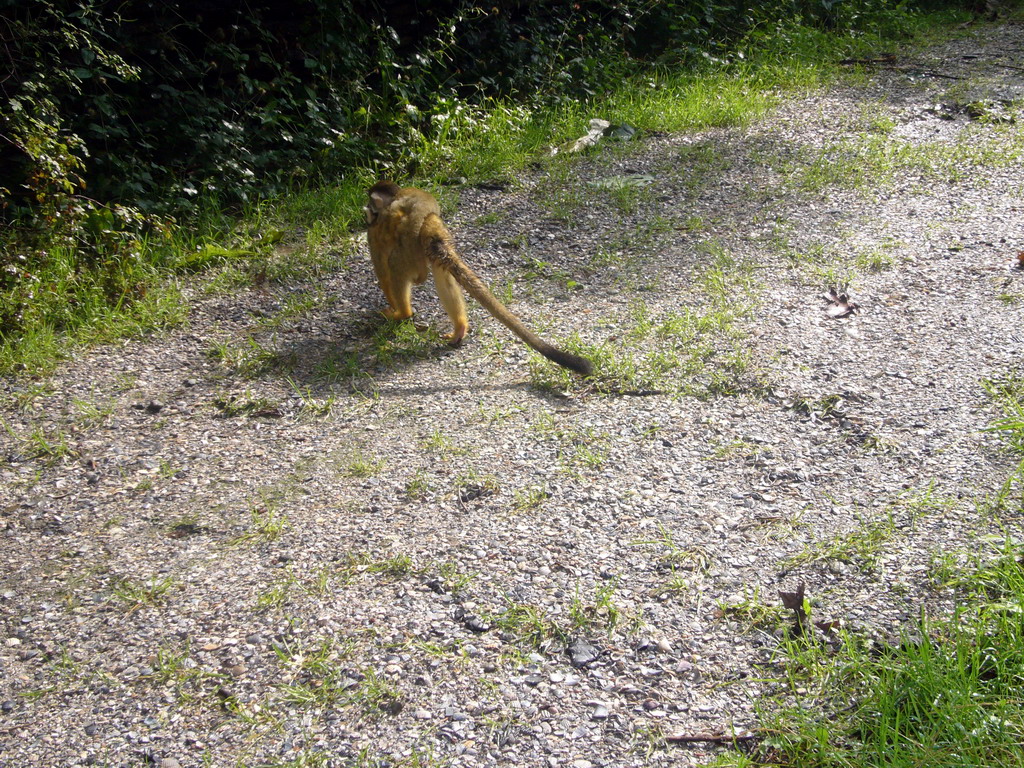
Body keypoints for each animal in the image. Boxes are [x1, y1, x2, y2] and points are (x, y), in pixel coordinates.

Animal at [366, 178, 593, 376]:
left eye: (370, 206)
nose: (367, 214)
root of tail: (428, 221)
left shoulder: (375, 229)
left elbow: (382, 268)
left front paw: (393, 309)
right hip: (434, 240)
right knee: (442, 270)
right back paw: (459, 328)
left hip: (411, 250)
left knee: (395, 265)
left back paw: (403, 313)